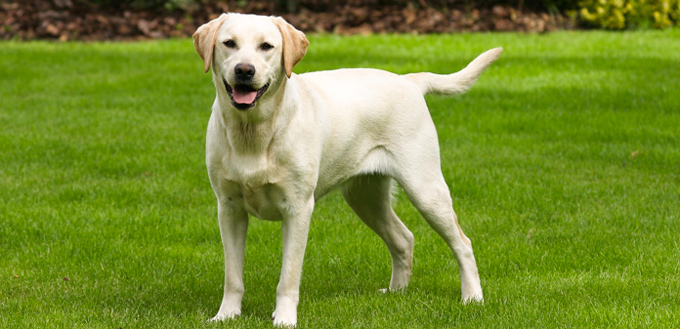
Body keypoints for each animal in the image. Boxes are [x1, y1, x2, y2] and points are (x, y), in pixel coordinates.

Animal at [191, 12, 500, 326]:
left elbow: (288, 276)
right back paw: (396, 292)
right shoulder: (229, 208)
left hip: (425, 189)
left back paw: (472, 297)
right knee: (403, 238)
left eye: (266, 46)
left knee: (463, 243)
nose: (244, 70)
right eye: (229, 43)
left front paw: (285, 319)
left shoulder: (298, 209)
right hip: (365, 197)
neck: (254, 132)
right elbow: (232, 275)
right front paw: (226, 316)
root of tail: (409, 80)